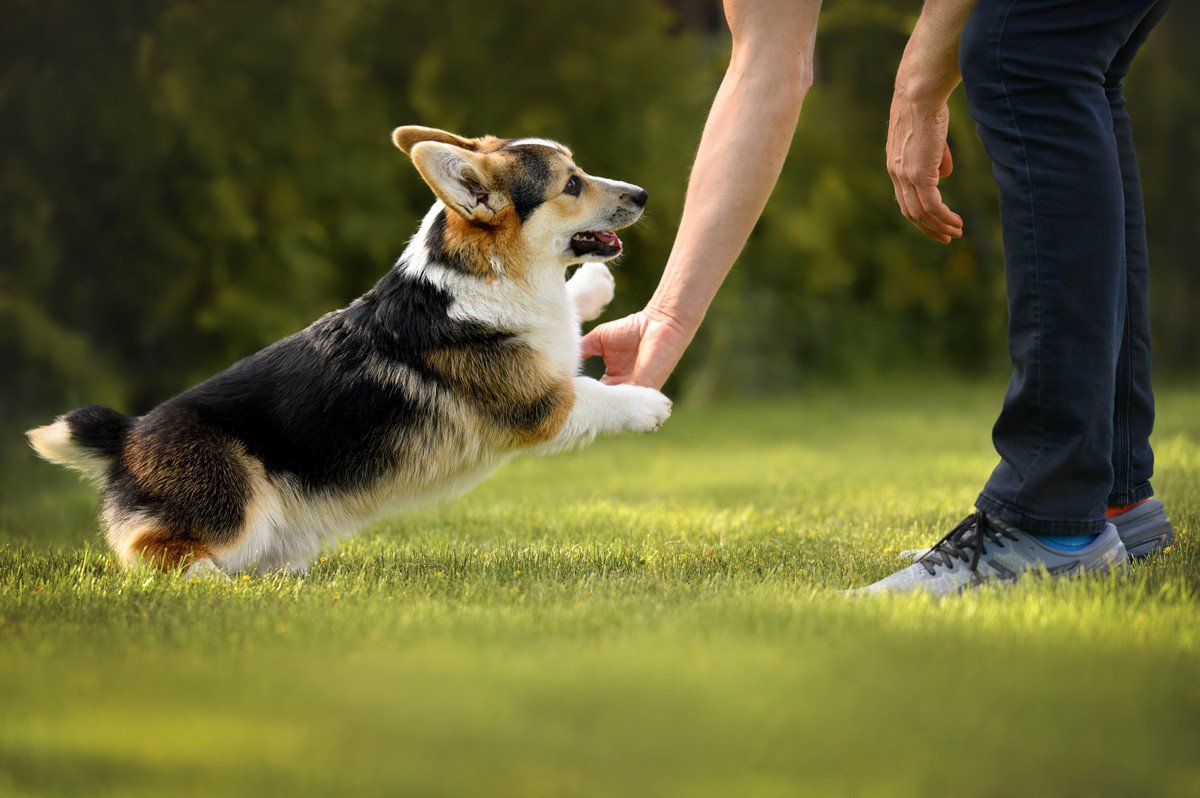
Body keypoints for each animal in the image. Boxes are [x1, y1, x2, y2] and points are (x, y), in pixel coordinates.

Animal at [25, 124, 676, 573]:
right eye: (572, 184)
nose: (644, 194)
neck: (489, 271)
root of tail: (128, 435)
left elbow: (572, 317)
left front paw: (592, 287)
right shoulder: (540, 403)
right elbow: (591, 394)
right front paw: (647, 404)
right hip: (232, 504)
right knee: (155, 556)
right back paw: (209, 582)